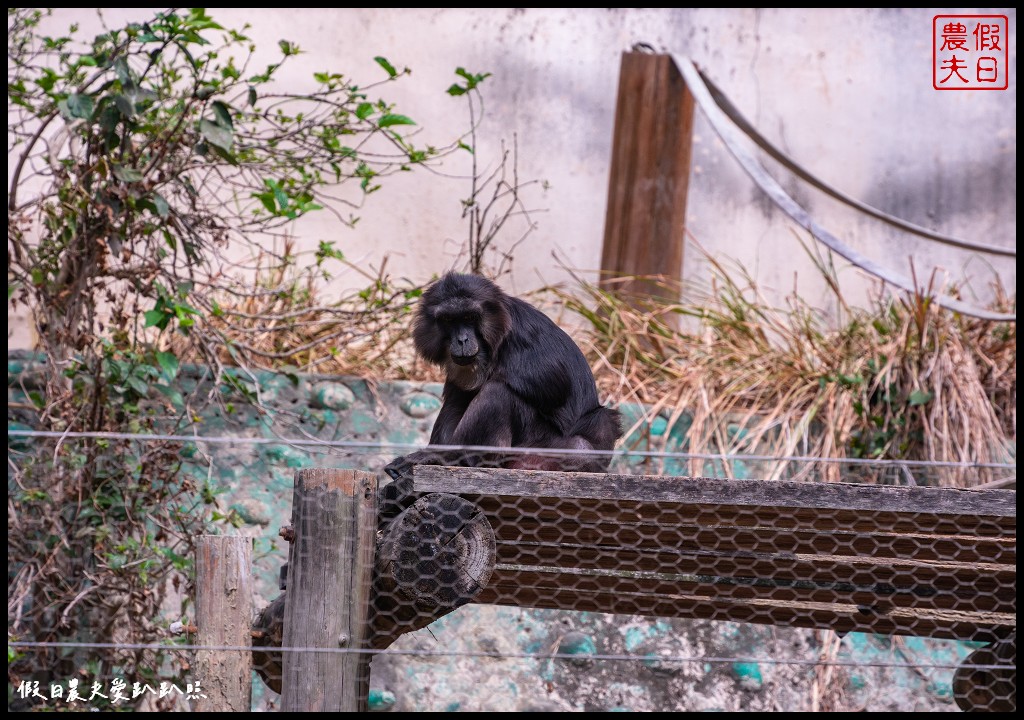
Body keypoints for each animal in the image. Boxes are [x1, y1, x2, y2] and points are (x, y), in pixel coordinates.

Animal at [382, 272, 618, 516]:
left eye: (469, 317)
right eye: (448, 320)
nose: (462, 339)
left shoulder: (523, 333)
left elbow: (552, 379)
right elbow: (457, 399)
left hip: (542, 454)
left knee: (500, 393)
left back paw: (448, 458)